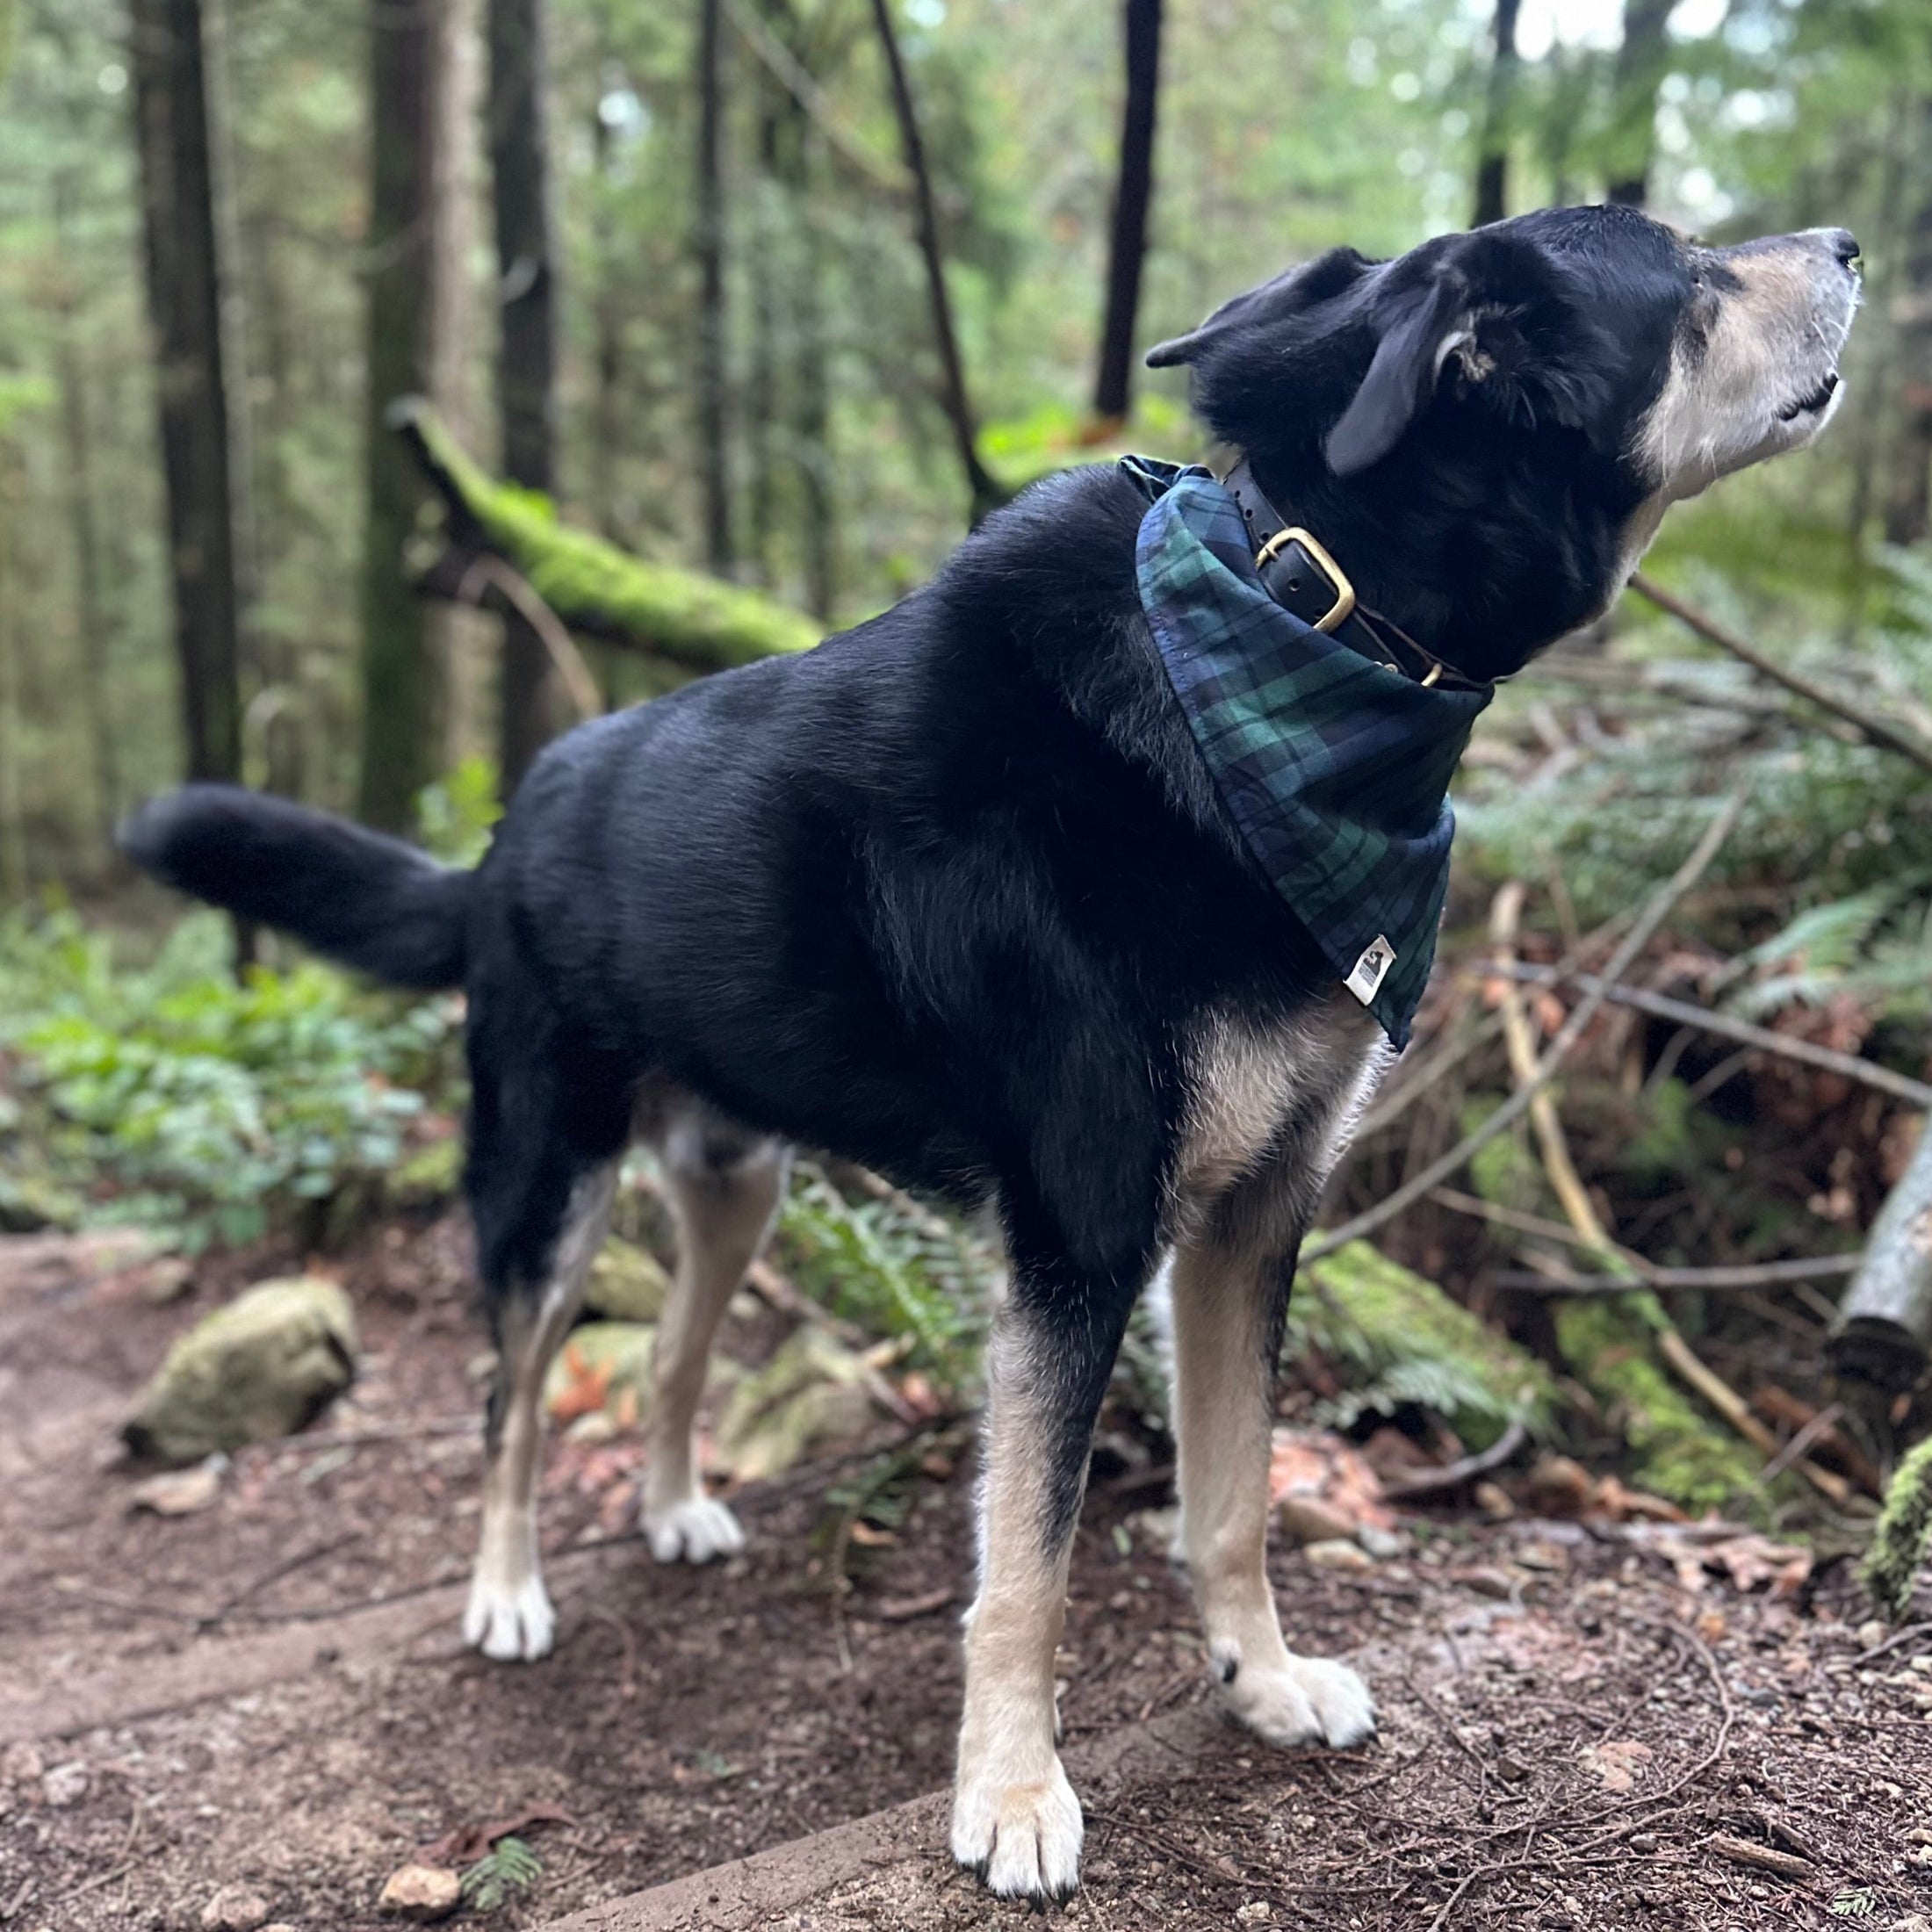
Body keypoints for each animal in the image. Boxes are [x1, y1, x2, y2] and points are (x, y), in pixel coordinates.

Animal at [124, 204, 1855, 1893]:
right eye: (1684, 268)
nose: (1846, 248)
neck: (1297, 632)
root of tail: (498, 837)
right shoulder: (1081, 1242)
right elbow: (1032, 1560)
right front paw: (1014, 1795)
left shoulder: (1255, 1217)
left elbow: (1234, 1495)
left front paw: (1261, 1679)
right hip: (549, 1186)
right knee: (512, 1398)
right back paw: (506, 1590)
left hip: (736, 1187)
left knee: (675, 1354)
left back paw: (677, 1507)